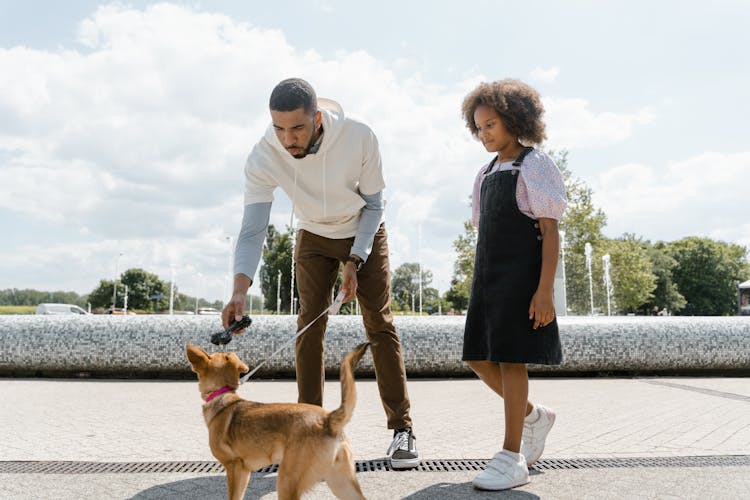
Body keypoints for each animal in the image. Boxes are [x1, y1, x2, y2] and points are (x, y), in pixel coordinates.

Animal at [185, 342, 368, 498]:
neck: (222, 394)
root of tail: (328, 419)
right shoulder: (244, 471)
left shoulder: (234, 468)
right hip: (341, 482)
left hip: (287, 480)